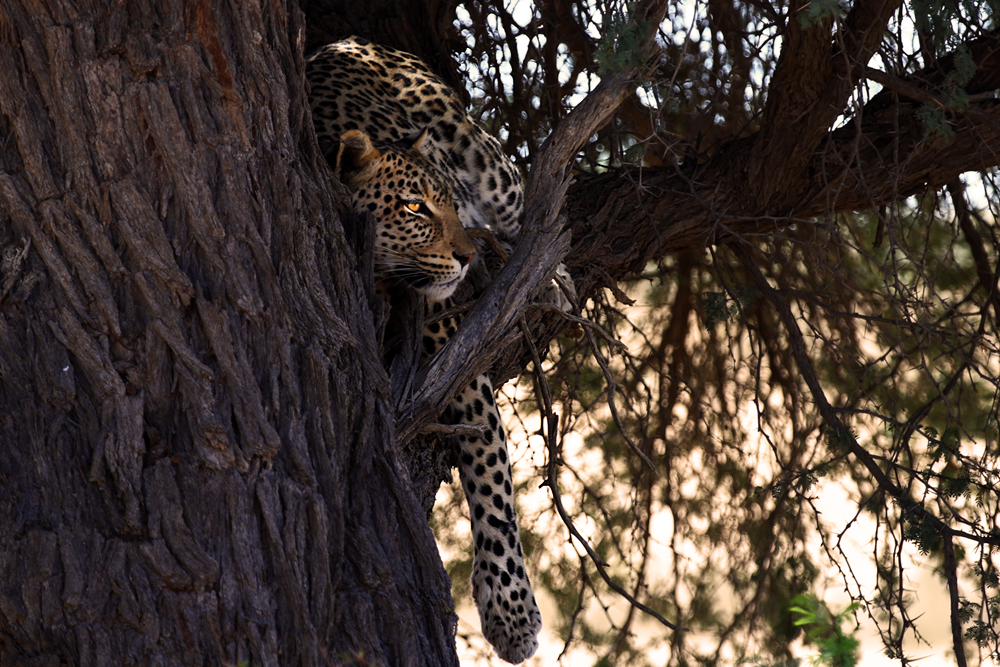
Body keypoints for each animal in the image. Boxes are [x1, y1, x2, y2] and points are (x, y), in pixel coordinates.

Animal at [310, 37, 548, 667]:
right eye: (415, 209)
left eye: (445, 203)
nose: (466, 256)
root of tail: (351, 41)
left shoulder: (450, 337)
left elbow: (492, 471)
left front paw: (512, 611)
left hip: (482, 156)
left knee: (531, 208)